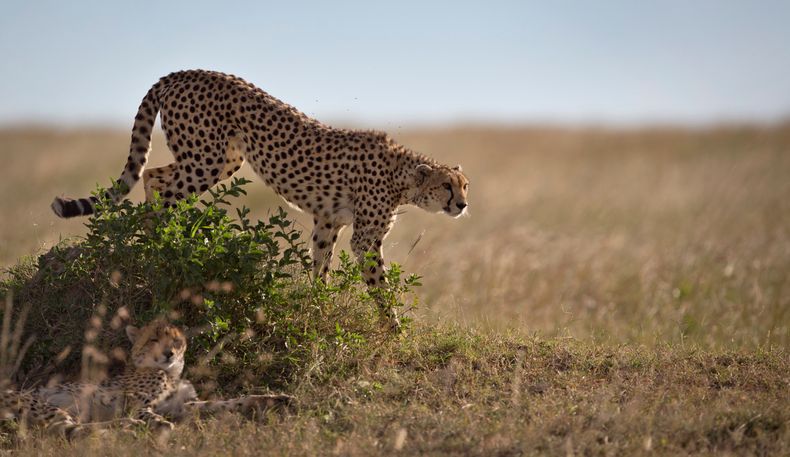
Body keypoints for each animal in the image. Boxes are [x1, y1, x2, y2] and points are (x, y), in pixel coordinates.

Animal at [0, 319, 291, 439]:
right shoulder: (138, 404)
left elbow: (225, 403)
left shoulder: (182, 405)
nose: (168, 353)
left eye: (176, 340)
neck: (169, 373)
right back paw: (130, 427)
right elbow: (149, 413)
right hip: (43, 404)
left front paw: (272, 399)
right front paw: (161, 425)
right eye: (153, 339)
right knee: (68, 429)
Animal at [50, 69, 470, 326]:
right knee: (159, 184)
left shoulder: (327, 222)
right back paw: (160, 240)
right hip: (206, 159)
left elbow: (320, 266)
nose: (463, 205)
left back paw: (164, 236)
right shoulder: (365, 239)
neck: (404, 177)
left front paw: (317, 306)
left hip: (224, 159)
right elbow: (379, 286)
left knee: (154, 176)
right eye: (448, 186)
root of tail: (183, 72)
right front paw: (393, 327)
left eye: (465, 185)